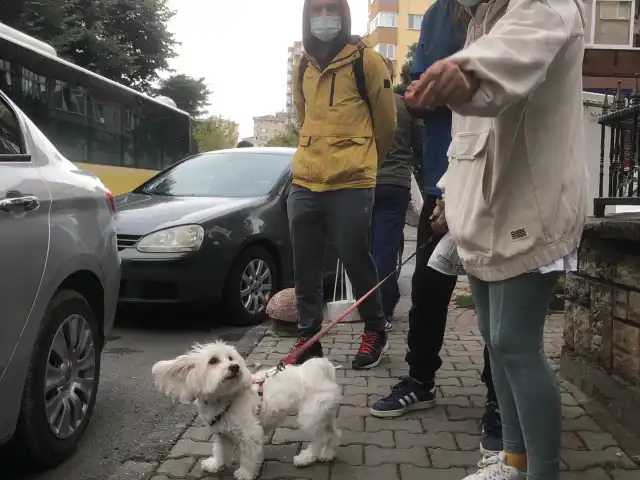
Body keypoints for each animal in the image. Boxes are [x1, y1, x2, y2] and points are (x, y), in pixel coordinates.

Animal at [151, 342, 340, 480]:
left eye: (230, 358)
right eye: (213, 361)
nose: (235, 367)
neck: (225, 398)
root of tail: (322, 371)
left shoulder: (251, 433)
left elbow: (249, 456)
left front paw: (245, 473)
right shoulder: (222, 433)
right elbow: (220, 451)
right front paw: (215, 465)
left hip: (310, 416)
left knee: (318, 439)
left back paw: (306, 458)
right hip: (323, 414)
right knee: (333, 433)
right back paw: (328, 453)